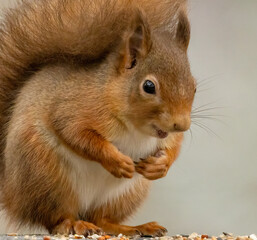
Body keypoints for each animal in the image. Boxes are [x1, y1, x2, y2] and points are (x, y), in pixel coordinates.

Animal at [0, 0, 194, 236]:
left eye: (194, 86)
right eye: (149, 86)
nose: (181, 124)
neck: (135, 128)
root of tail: (11, 193)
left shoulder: (168, 136)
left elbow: (174, 146)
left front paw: (160, 166)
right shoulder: (74, 109)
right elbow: (77, 134)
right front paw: (118, 161)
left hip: (124, 195)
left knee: (101, 218)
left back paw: (135, 227)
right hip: (46, 176)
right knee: (56, 218)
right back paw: (74, 224)